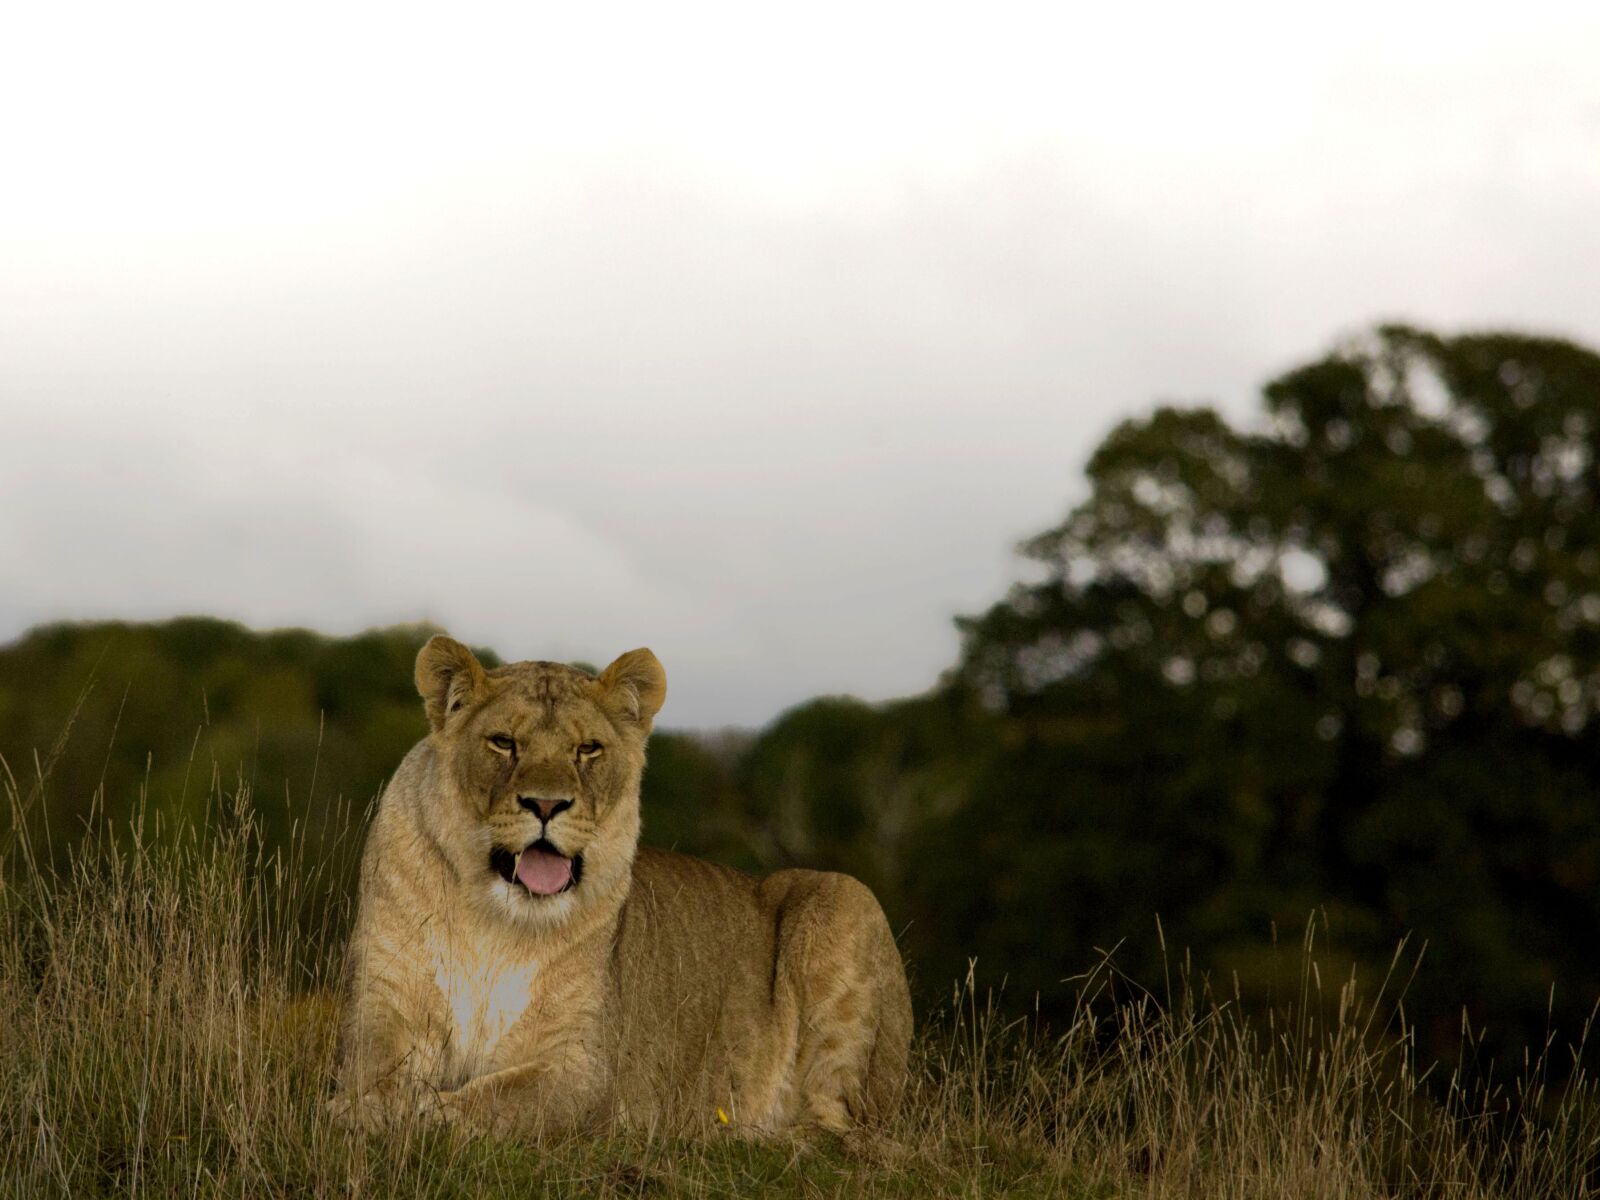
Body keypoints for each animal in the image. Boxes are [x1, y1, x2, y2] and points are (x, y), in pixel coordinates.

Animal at [329, 635, 912, 1139]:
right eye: (503, 742)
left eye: (588, 749)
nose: (546, 804)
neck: (497, 923)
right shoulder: (384, 1009)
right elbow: (372, 1078)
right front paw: (362, 1109)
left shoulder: (585, 1067)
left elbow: (496, 1101)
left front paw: (428, 1113)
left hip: (844, 898)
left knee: (840, 1130)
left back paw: (733, 1136)